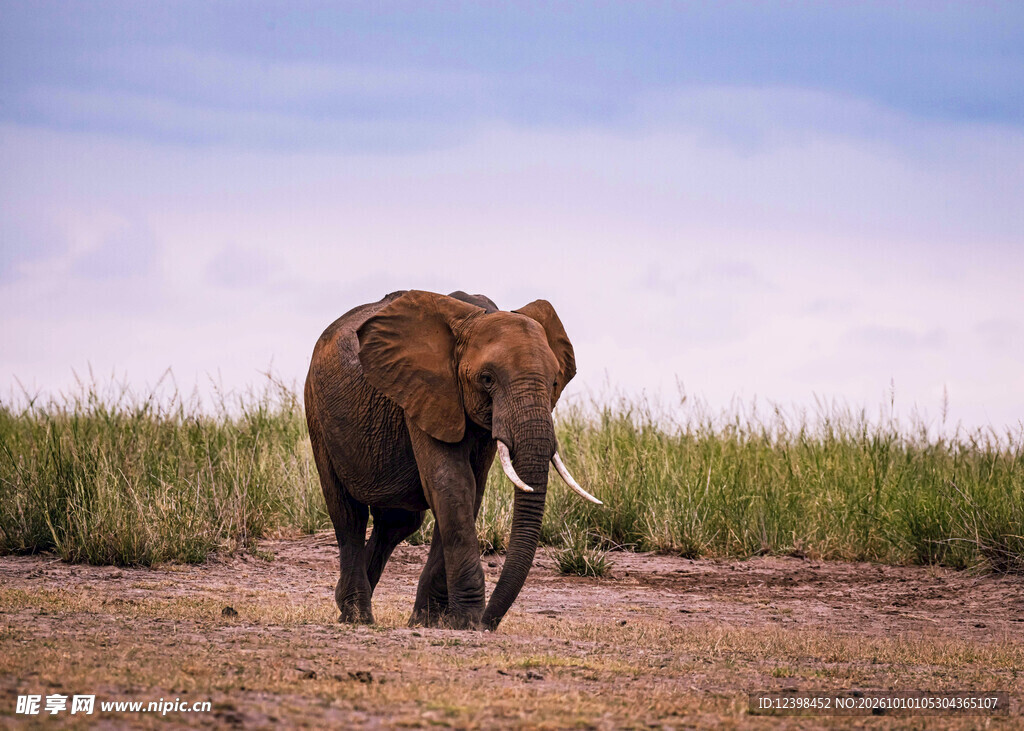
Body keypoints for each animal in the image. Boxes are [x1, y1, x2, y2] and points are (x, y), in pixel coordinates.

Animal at [304, 289, 600, 631]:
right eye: (487, 379)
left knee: (397, 523)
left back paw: (344, 602)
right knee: (348, 514)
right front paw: (467, 620)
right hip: (316, 409)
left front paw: (429, 621)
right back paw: (357, 616)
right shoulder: (425, 390)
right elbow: (451, 484)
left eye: (554, 382)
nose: (488, 624)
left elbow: (470, 491)